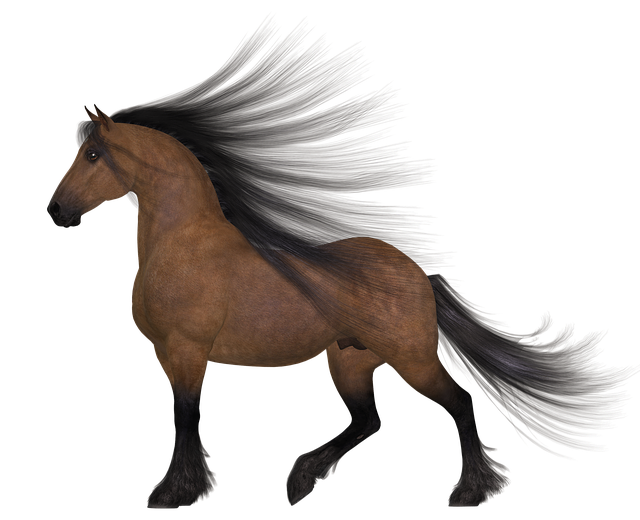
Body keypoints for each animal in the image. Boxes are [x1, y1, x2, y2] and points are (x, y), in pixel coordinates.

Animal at [46, 14, 635, 509]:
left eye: (92, 155)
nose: (55, 211)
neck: (186, 245)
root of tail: (415, 274)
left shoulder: (190, 352)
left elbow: (187, 420)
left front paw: (172, 494)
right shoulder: (171, 356)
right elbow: (185, 420)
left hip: (411, 358)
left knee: (458, 405)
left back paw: (468, 492)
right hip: (348, 359)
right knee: (368, 421)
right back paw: (302, 478)